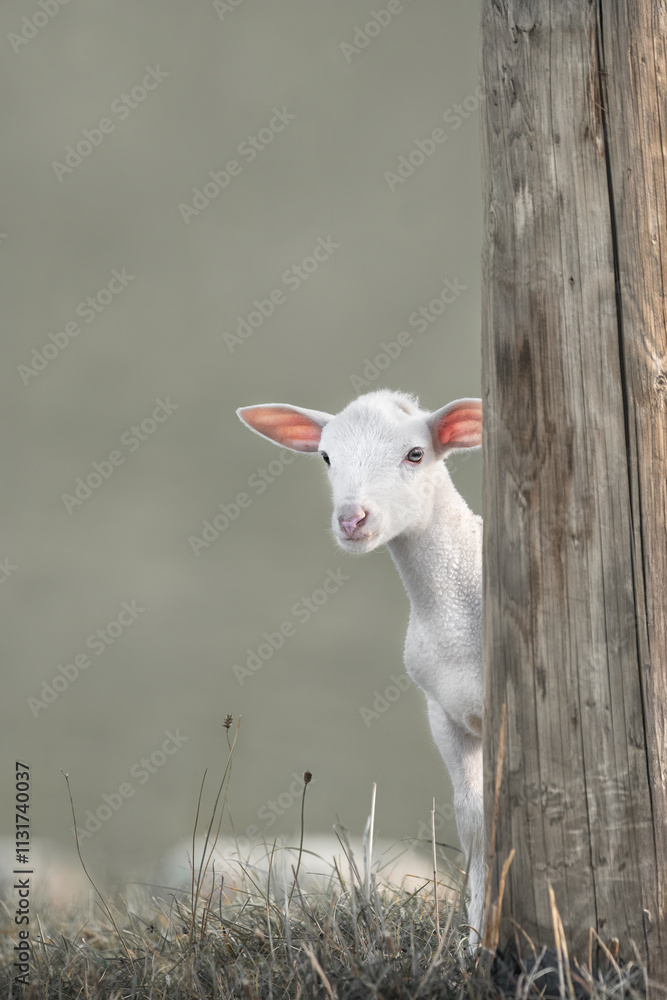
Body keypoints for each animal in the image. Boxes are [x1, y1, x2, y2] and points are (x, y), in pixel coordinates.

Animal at [236, 390, 484, 942]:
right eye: (327, 457)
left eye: (415, 454)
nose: (352, 519)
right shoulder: (445, 712)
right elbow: (474, 823)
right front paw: (479, 939)